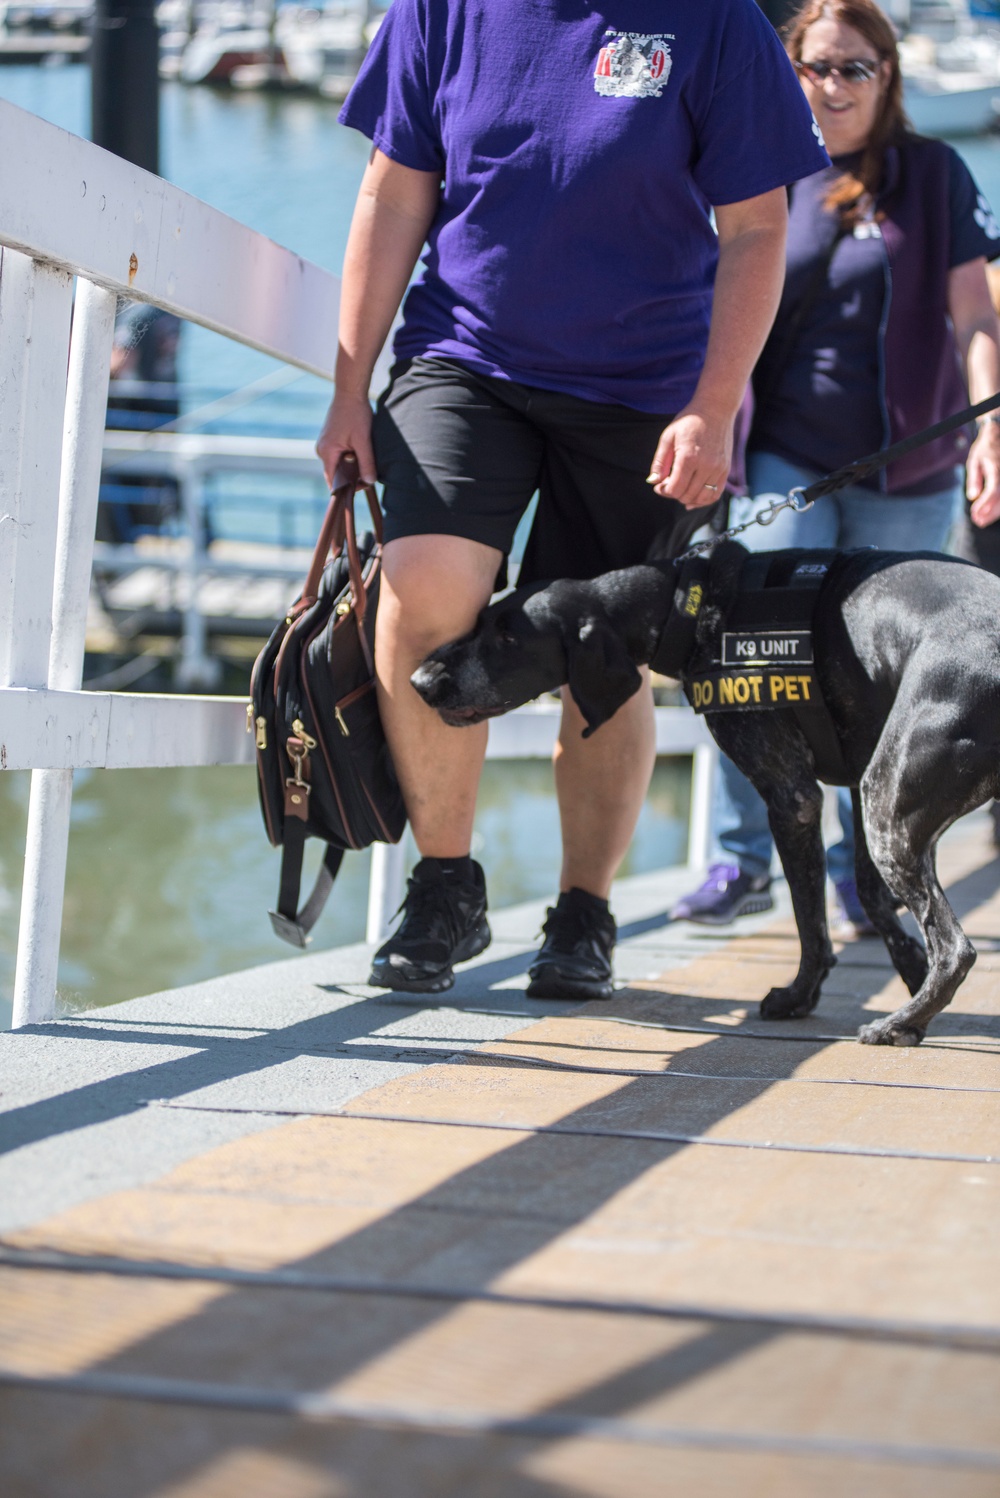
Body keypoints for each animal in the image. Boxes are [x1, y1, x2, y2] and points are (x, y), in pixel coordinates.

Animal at [410, 545, 999, 1048]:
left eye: (511, 639)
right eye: (481, 623)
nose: (420, 680)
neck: (691, 607)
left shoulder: (795, 798)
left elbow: (810, 920)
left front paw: (799, 996)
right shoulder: (857, 782)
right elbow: (872, 896)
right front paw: (909, 970)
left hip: (887, 814)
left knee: (957, 949)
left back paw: (897, 1024)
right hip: (885, 799)